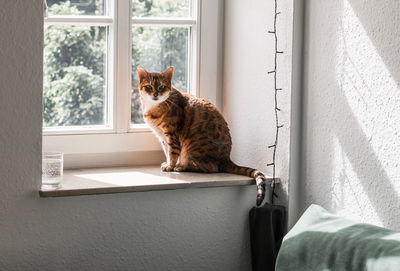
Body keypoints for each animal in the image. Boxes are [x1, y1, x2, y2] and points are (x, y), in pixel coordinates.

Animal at [136, 66, 268, 206]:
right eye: (149, 86)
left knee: (211, 168)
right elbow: (167, 152)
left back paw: (181, 166)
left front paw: (170, 166)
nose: (155, 94)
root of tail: (226, 158)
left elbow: (172, 152)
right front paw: (167, 163)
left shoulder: (172, 134)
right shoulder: (162, 137)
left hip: (191, 150)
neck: (154, 107)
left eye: (162, 86)